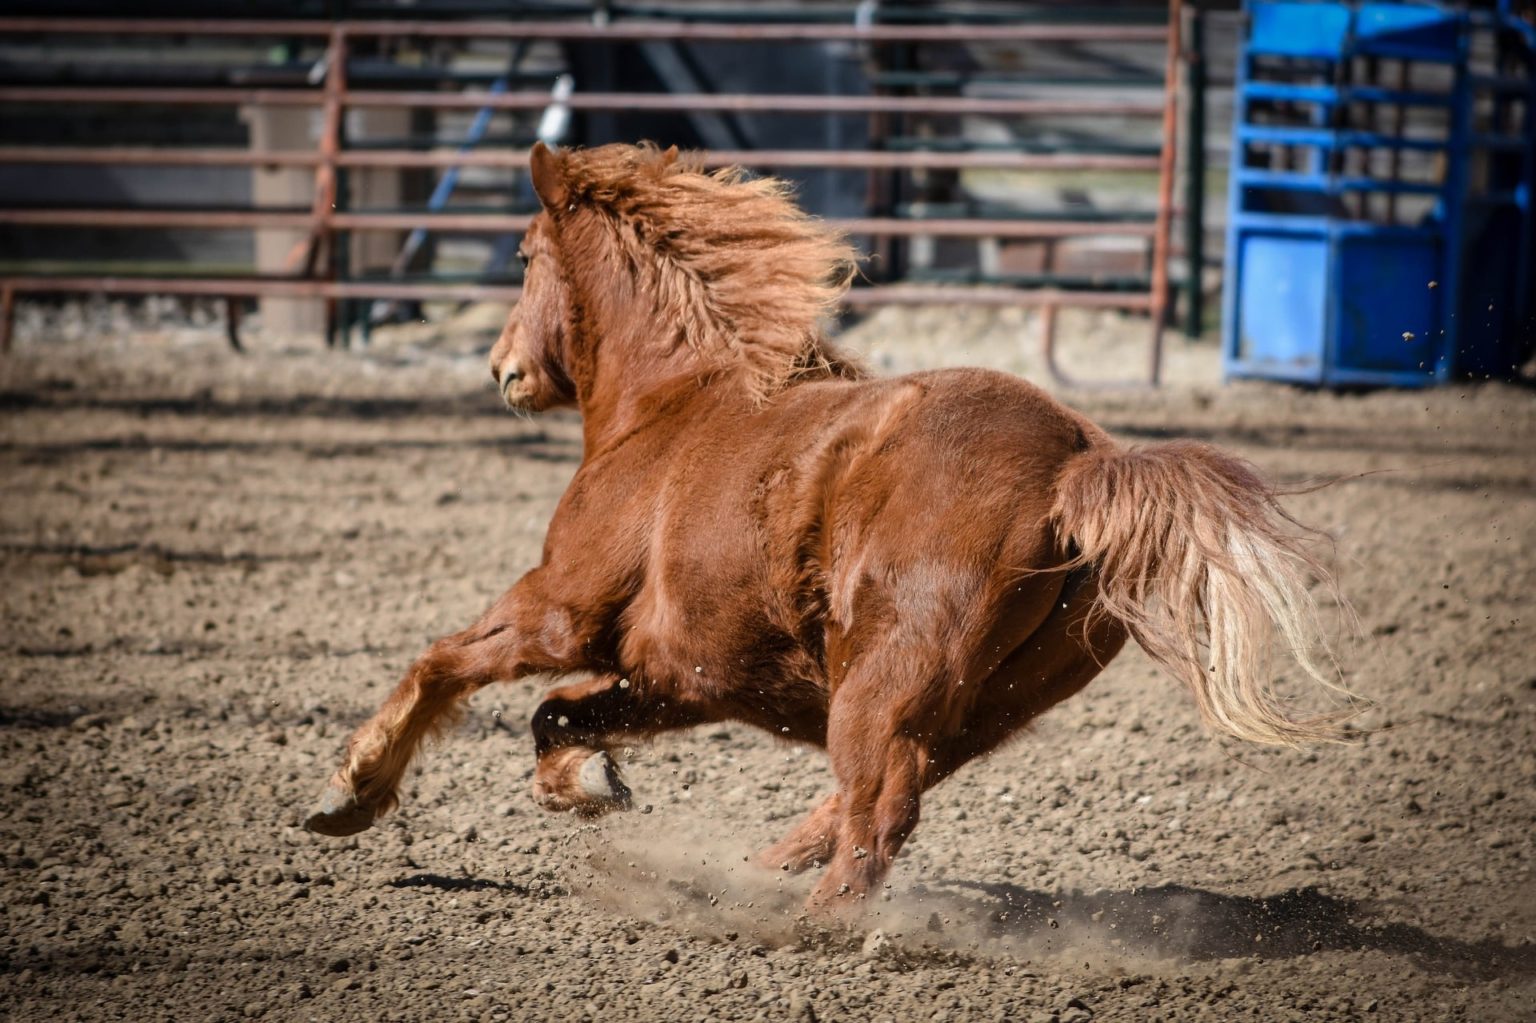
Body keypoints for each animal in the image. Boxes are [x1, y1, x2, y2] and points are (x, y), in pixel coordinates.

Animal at [304, 141, 1355, 913]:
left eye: (524, 256)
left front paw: (351, 790)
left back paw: (801, 928)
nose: (501, 368)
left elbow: (447, 661)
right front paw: (589, 780)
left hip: (886, 677)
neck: (667, 408)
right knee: (869, 801)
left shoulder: (559, 607)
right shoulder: (677, 675)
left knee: (877, 816)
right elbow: (559, 713)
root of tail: (1073, 464)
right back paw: (757, 879)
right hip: (981, 705)